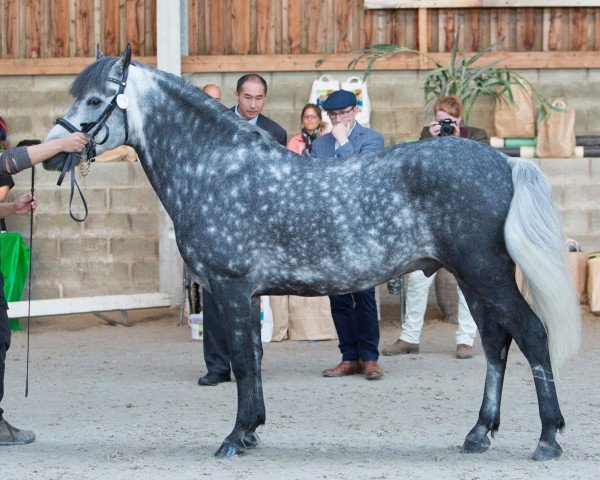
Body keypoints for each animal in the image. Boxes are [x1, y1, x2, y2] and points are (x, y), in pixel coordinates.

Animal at [44, 46, 580, 462]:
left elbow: (243, 360)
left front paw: (234, 438)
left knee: (531, 335)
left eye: (95, 99)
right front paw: (252, 430)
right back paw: (478, 433)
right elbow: (254, 357)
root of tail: (506, 162)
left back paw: (548, 439)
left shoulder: (230, 289)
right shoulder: (244, 294)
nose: (53, 150)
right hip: (473, 278)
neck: (218, 168)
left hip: (486, 275)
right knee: (496, 343)